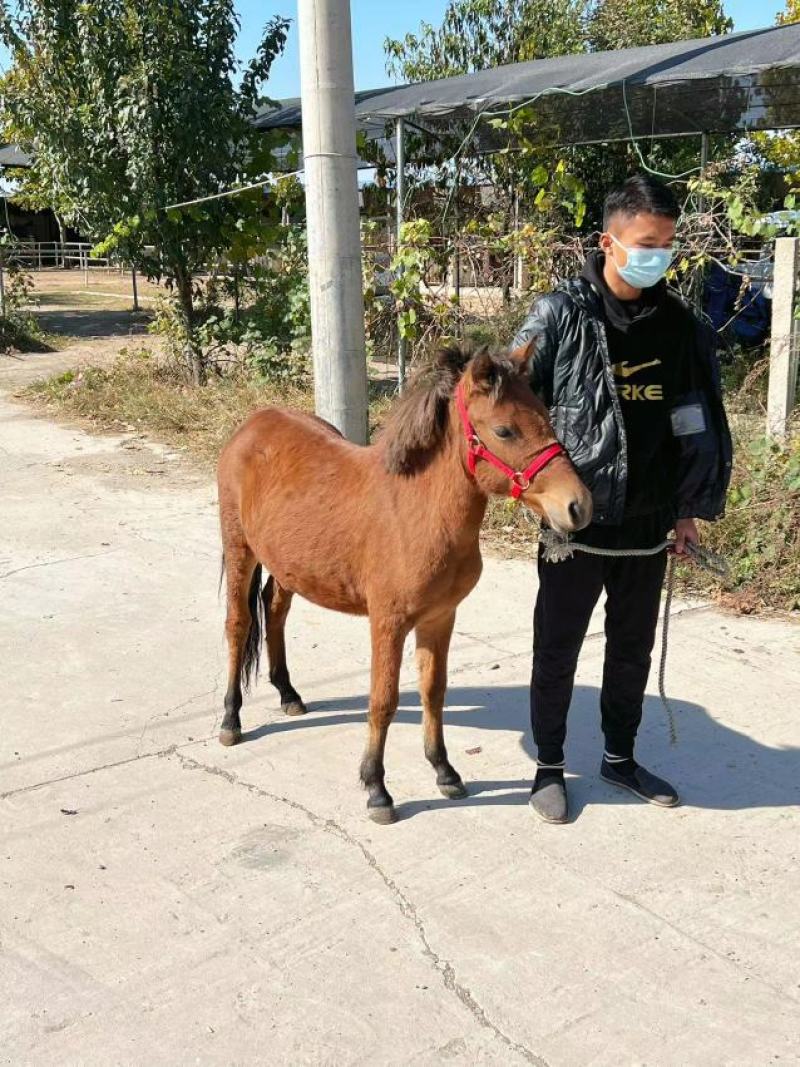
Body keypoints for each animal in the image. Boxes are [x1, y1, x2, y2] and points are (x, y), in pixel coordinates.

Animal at [216, 343, 592, 823]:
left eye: (546, 415)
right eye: (504, 430)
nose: (578, 506)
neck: (419, 511)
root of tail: (254, 423)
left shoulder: (440, 617)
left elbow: (433, 691)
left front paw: (445, 770)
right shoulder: (388, 622)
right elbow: (383, 700)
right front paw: (377, 788)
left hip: (288, 564)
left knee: (275, 610)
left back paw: (288, 693)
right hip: (240, 548)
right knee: (238, 624)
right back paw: (231, 720)